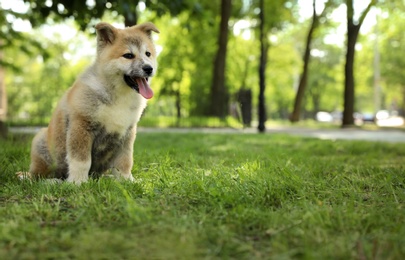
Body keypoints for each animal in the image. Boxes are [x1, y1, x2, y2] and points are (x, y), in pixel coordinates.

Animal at [18, 22, 159, 185]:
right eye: (128, 56)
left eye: (148, 54)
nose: (149, 68)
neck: (118, 95)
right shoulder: (82, 126)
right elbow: (81, 160)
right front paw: (78, 182)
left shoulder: (127, 133)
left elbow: (124, 162)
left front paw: (126, 181)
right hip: (41, 142)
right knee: (39, 176)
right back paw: (52, 181)